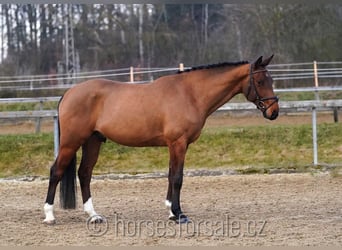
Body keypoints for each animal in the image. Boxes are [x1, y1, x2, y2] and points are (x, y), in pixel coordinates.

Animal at [43, 54, 278, 225]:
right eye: (259, 81)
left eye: (271, 80)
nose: (274, 112)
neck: (190, 94)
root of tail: (69, 92)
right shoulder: (178, 143)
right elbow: (178, 178)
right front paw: (179, 214)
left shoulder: (177, 145)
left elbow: (171, 175)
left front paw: (172, 212)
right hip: (71, 142)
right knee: (56, 171)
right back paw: (49, 215)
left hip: (93, 141)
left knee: (84, 173)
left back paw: (93, 215)